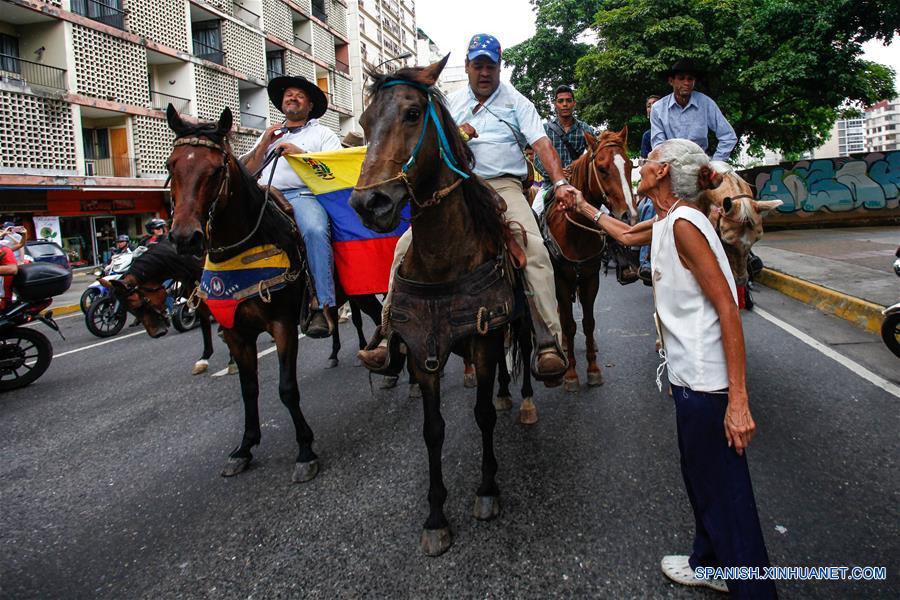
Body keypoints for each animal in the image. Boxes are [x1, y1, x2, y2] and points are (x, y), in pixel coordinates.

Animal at [346, 58, 532, 556]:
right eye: (364, 123)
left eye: (412, 114)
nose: (369, 203)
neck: (443, 257)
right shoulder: (423, 350)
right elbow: (433, 430)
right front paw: (435, 517)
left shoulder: (484, 338)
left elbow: (483, 415)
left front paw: (487, 491)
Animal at [540, 126, 632, 392]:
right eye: (602, 168)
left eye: (630, 165)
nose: (627, 215)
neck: (575, 232)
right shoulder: (561, 281)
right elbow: (569, 324)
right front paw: (571, 374)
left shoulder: (590, 278)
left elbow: (588, 322)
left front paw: (593, 369)